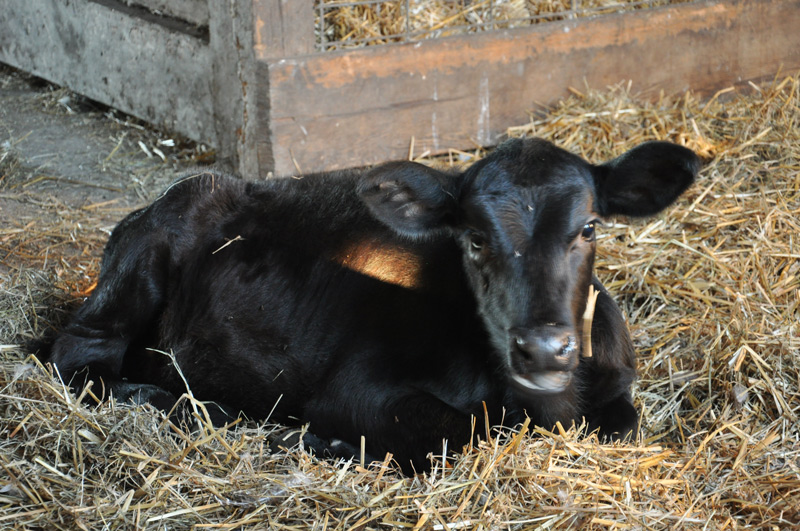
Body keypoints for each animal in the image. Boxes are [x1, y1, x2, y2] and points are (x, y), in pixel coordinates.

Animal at [46, 137, 699, 473]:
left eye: (589, 227)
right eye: (474, 237)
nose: (542, 349)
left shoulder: (616, 388)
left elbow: (623, 424)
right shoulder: (355, 390)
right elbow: (459, 433)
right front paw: (322, 442)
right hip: (144, 263)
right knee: (78, 355)